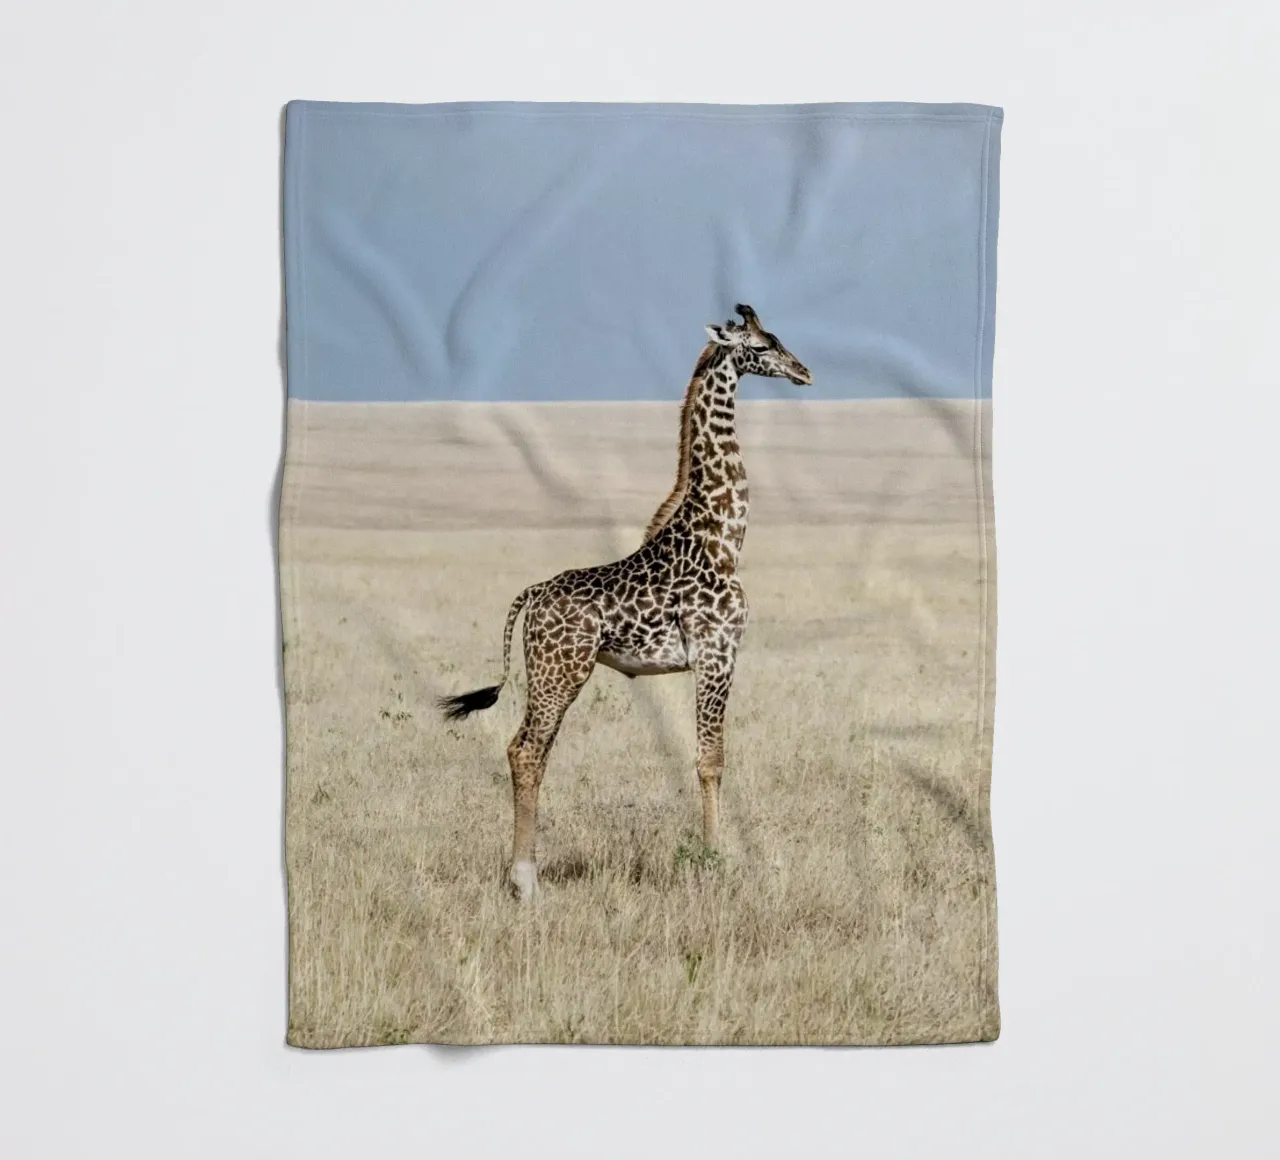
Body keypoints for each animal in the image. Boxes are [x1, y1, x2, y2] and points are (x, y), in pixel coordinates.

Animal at [439, 304, 812, 900]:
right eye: (762, 345)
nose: (804, 372)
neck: (724, 536)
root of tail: (531, 596)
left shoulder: (712, 659)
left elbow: (708, 758)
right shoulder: (717, 654)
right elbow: (711, 760)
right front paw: (714, 861)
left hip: (553, 674)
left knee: (530, 751)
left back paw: (523, 874)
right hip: (560, 671)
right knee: (526, 750)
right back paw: (525, 880)